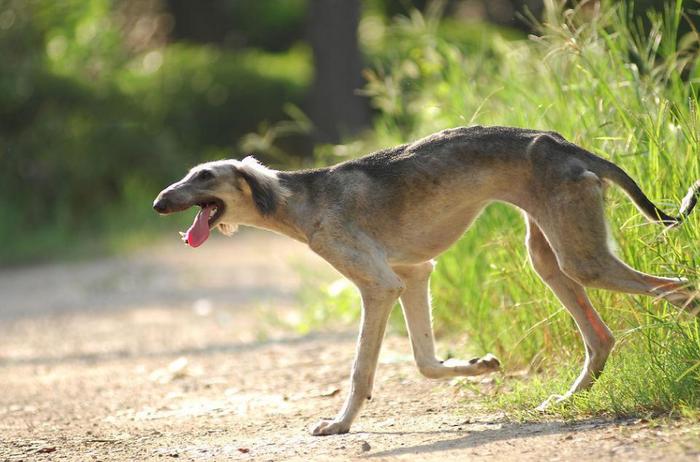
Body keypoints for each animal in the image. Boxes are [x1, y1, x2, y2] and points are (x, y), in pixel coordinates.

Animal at [153, 124, 700, 434]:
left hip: (581, 258)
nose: (158, 202)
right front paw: (478, 366)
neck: (300, 198)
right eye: (190, 174)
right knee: (601, 337)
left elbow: (361, 370)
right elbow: (424, 361)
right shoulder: (414, 275)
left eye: (205, 176)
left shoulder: (379, 287)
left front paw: (340, 424)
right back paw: (567, 399)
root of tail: (565, 144)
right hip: (551, 258)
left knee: (682, 290)